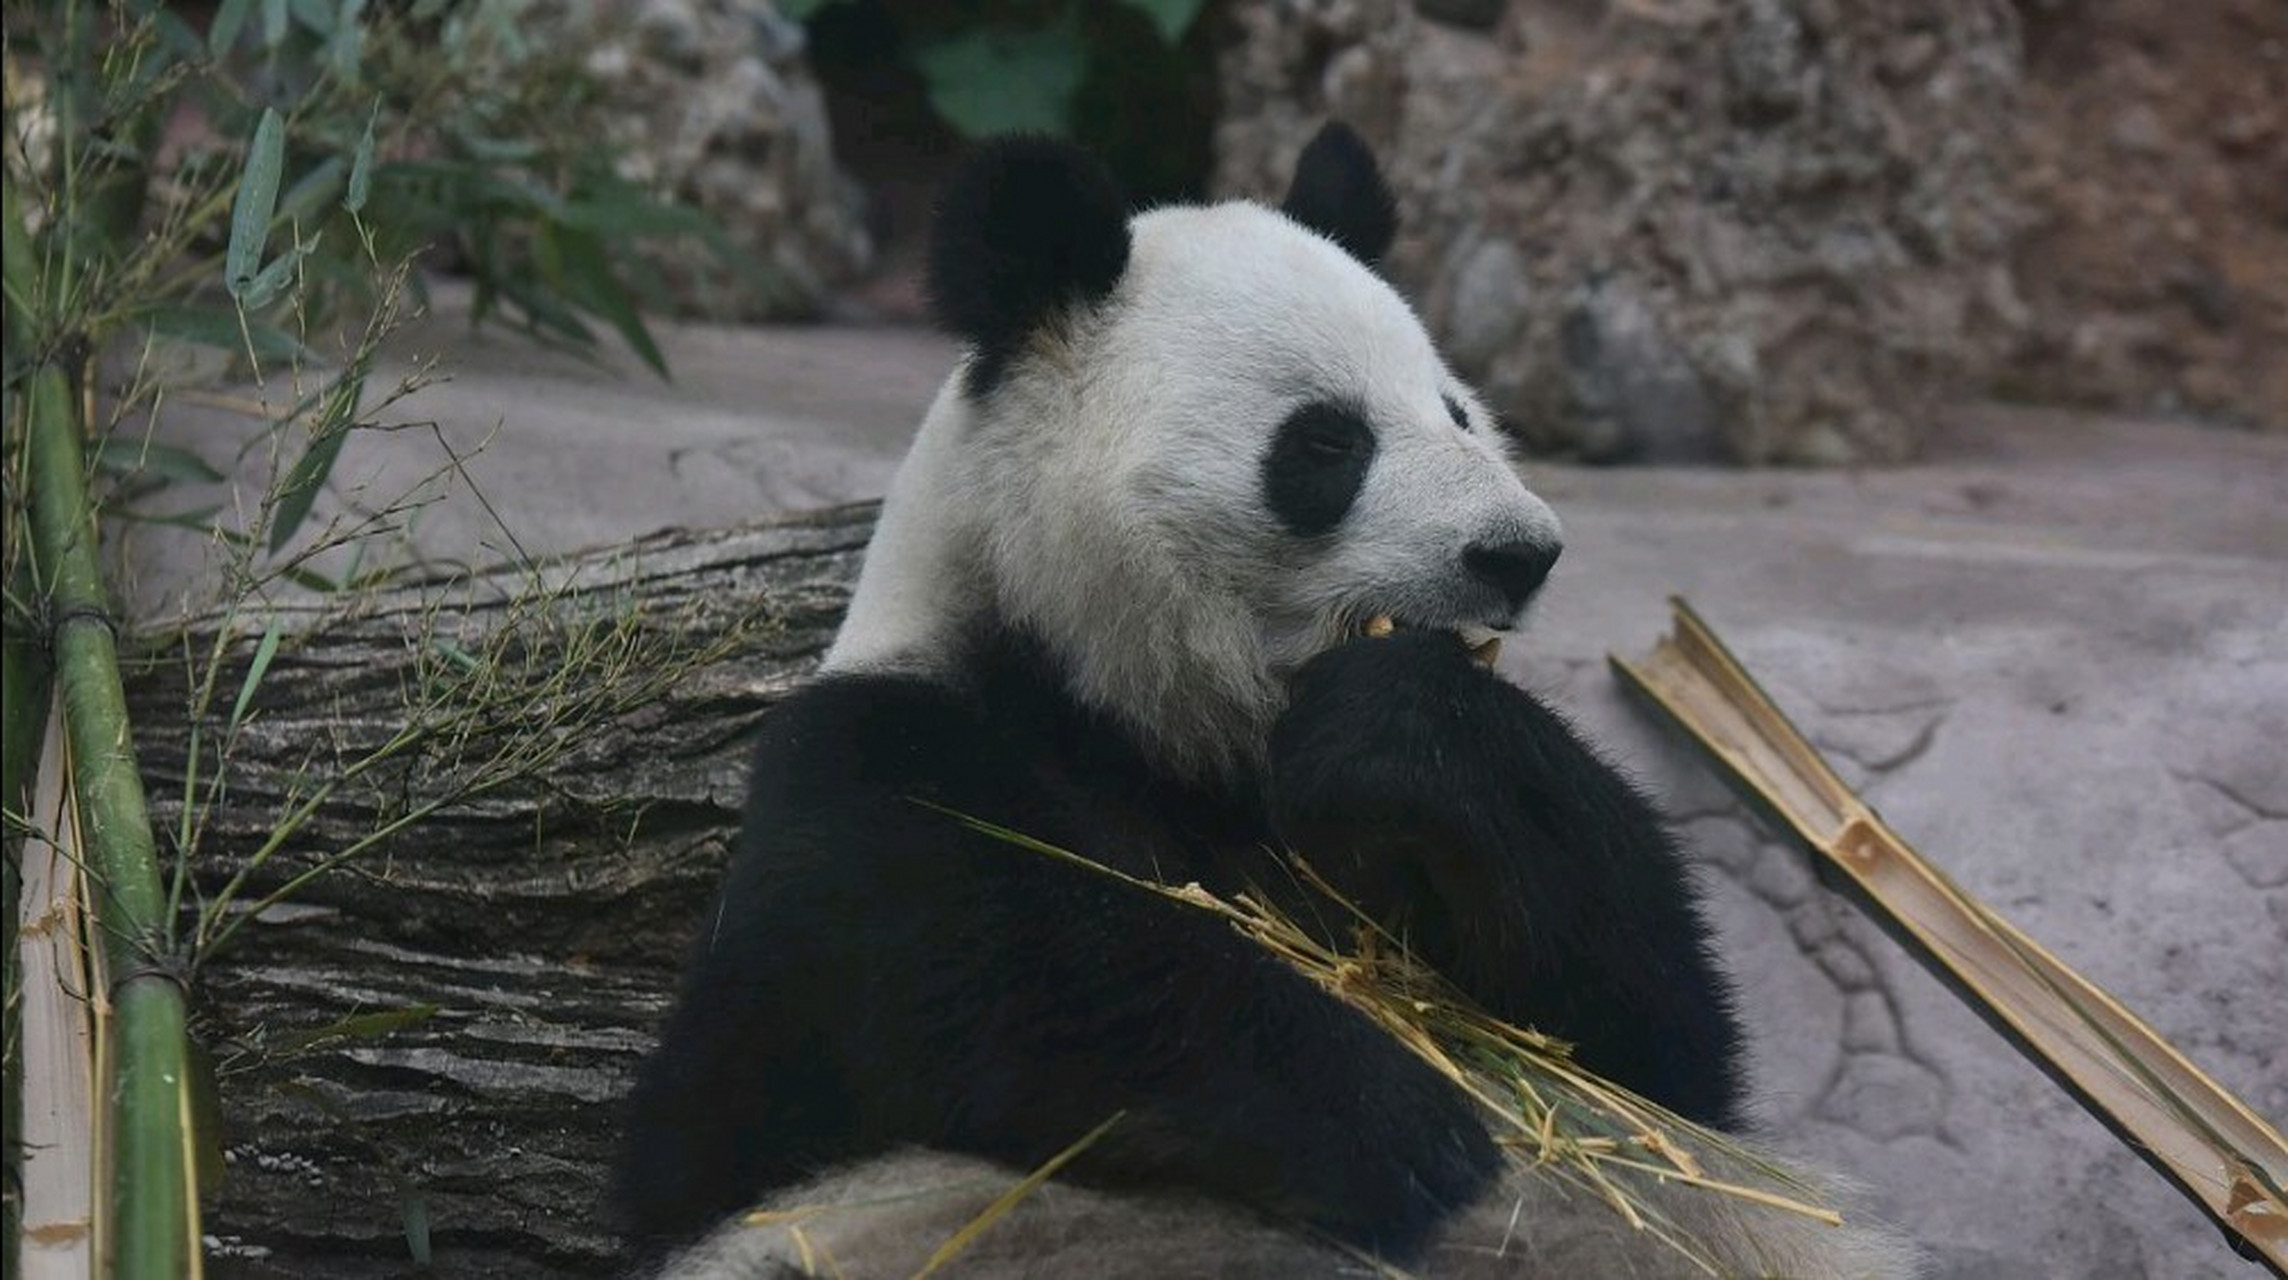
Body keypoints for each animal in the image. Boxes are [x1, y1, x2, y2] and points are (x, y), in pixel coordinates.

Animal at [617, 122, 1921, 1280]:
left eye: (1456, 409)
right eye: (1326, 442)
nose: (1518, 553)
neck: (1139, 719)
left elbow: (1661, 1072)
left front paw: (1407, 731)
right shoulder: (882, 759)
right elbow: (963, 978)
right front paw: (1400, 1124)